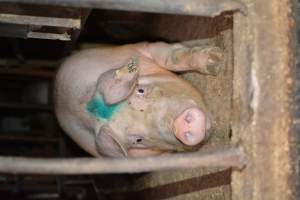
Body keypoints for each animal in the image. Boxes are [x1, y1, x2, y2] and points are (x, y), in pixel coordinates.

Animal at [54, 42, 223, 158]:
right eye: (138, 140)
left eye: (140, 90)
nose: (180, 126)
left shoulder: (141, 48)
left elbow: (171, 58)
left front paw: (215, 61)